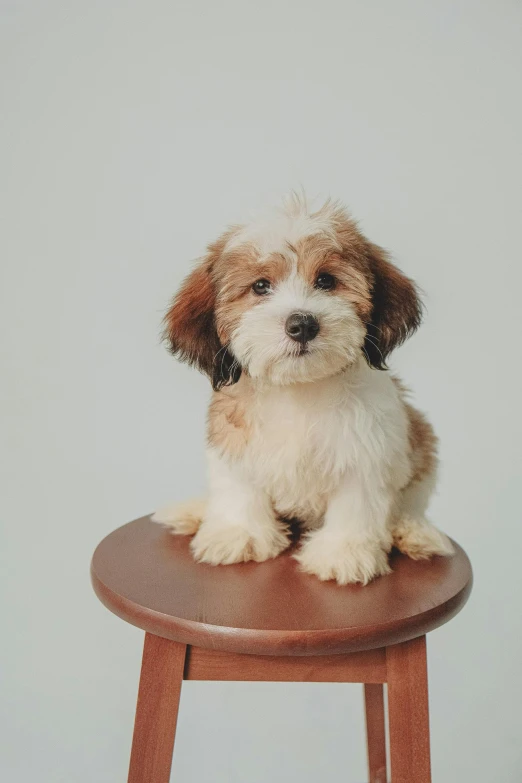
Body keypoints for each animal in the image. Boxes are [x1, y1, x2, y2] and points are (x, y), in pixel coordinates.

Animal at [152, 193, 452, 584]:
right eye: (260, 286)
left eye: (326, 280)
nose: (302, 324)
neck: (299, 389)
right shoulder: (234, 441)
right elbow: (238, 488)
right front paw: (240, 534)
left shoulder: (368, 449)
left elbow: (356, 502)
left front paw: (343, 552)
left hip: (422, 444)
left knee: (413, 499)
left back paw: (412, 532)